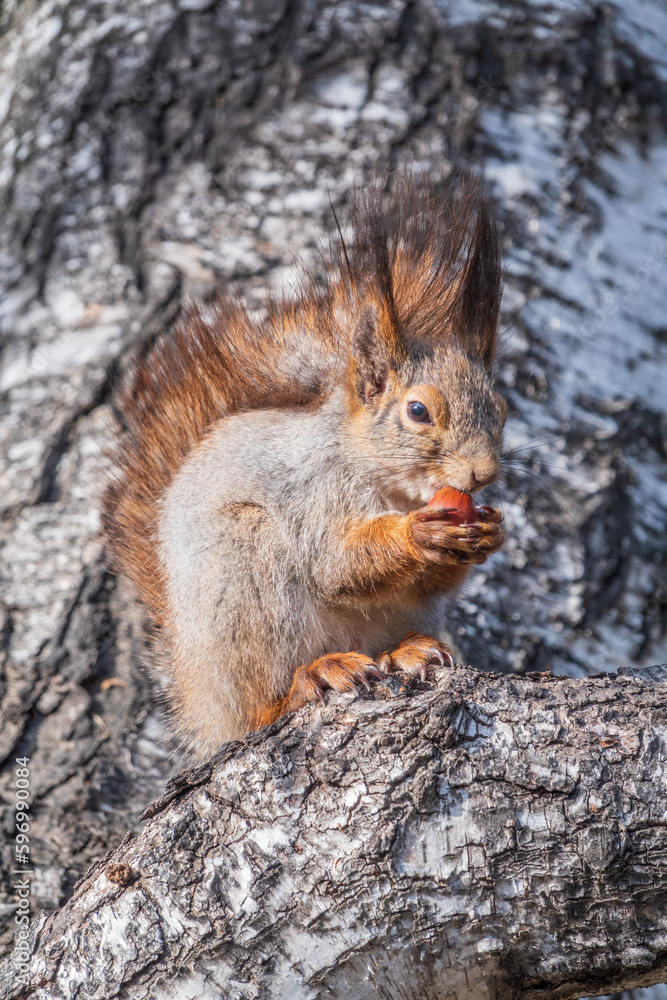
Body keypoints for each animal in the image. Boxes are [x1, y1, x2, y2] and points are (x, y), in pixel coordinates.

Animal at [102, 176, 507, 756]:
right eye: (418, 411)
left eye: (501, 408)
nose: (483, 474)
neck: (388, 484)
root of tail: (204, 707)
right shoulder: (313, 492)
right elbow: (333, 564)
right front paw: (418, 534)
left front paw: (489, 534)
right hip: (244, 569)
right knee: (259, 707)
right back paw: (308, 679)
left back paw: (407, 652)